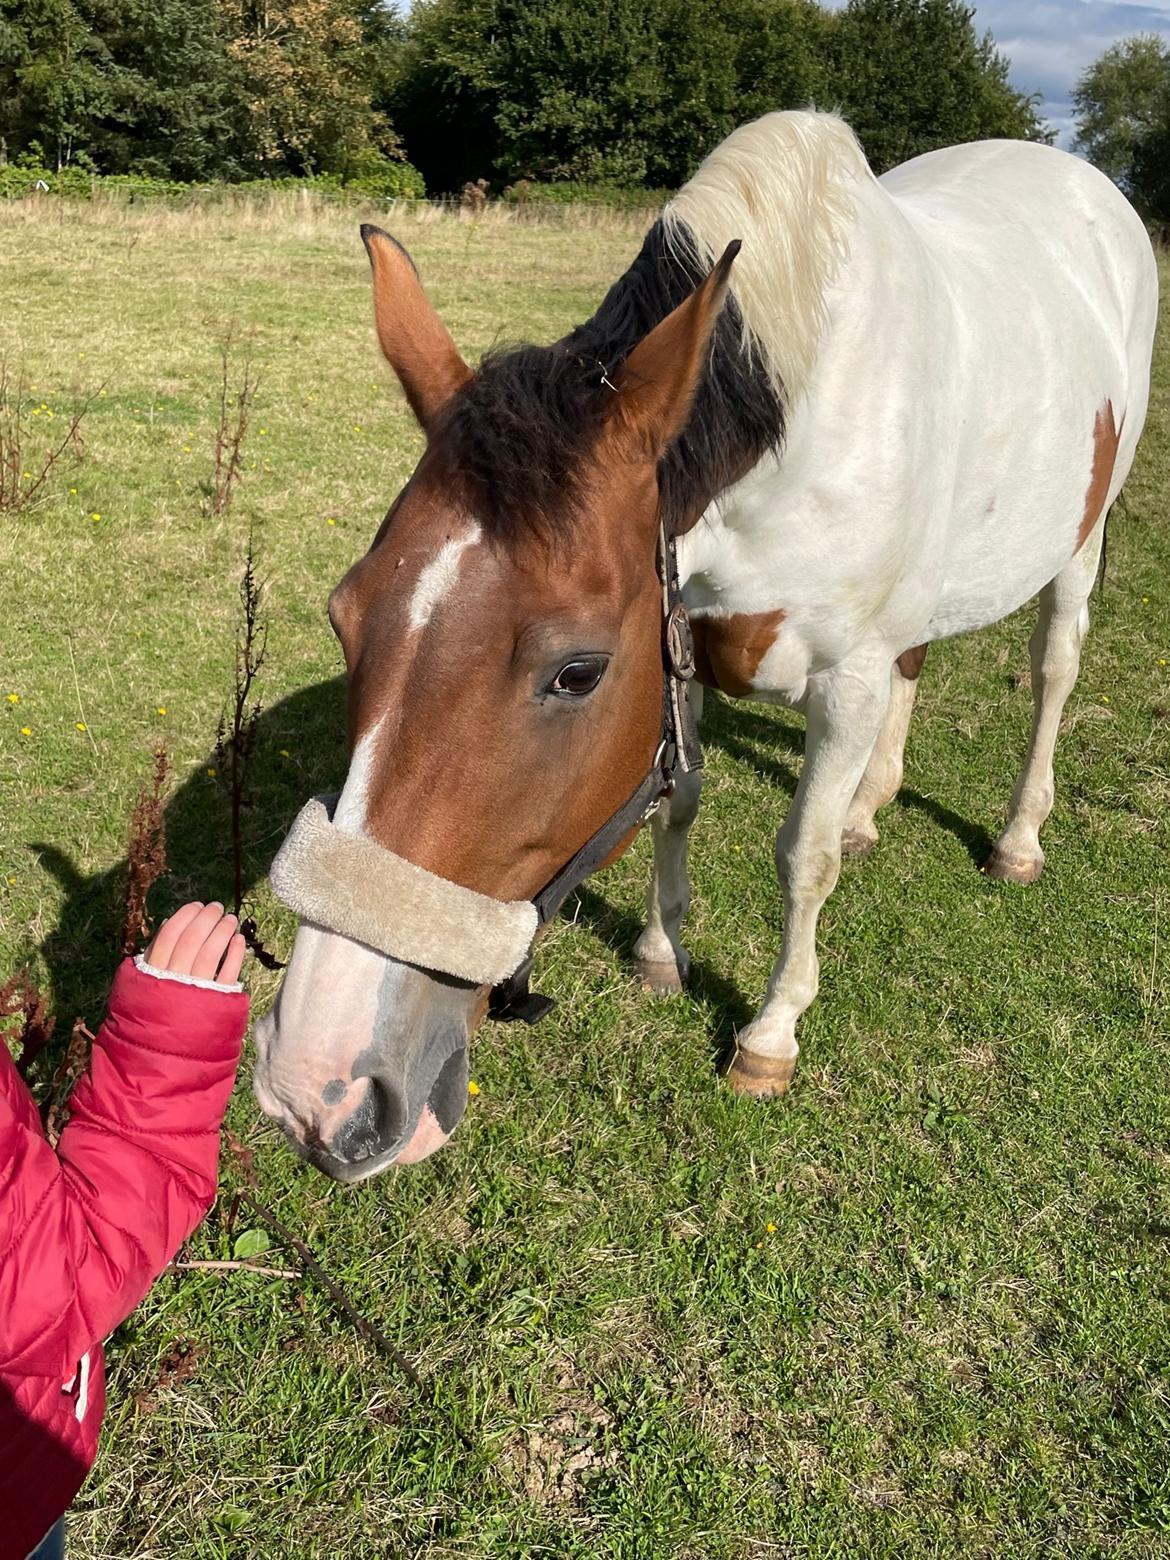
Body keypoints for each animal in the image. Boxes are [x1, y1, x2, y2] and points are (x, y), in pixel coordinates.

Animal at [252, 113, 1160, 1179]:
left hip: (1080, 543)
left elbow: (803, 855)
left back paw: (1018, 838)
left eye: (577, 673)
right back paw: (874, 805)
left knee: (1054, 667)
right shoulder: (678, 639)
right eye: (345, 618)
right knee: (919, 658)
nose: (315, 1085)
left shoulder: (843, 680)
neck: (797, 423)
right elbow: (675, 802)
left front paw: (770, 1034)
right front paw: (660, 952)